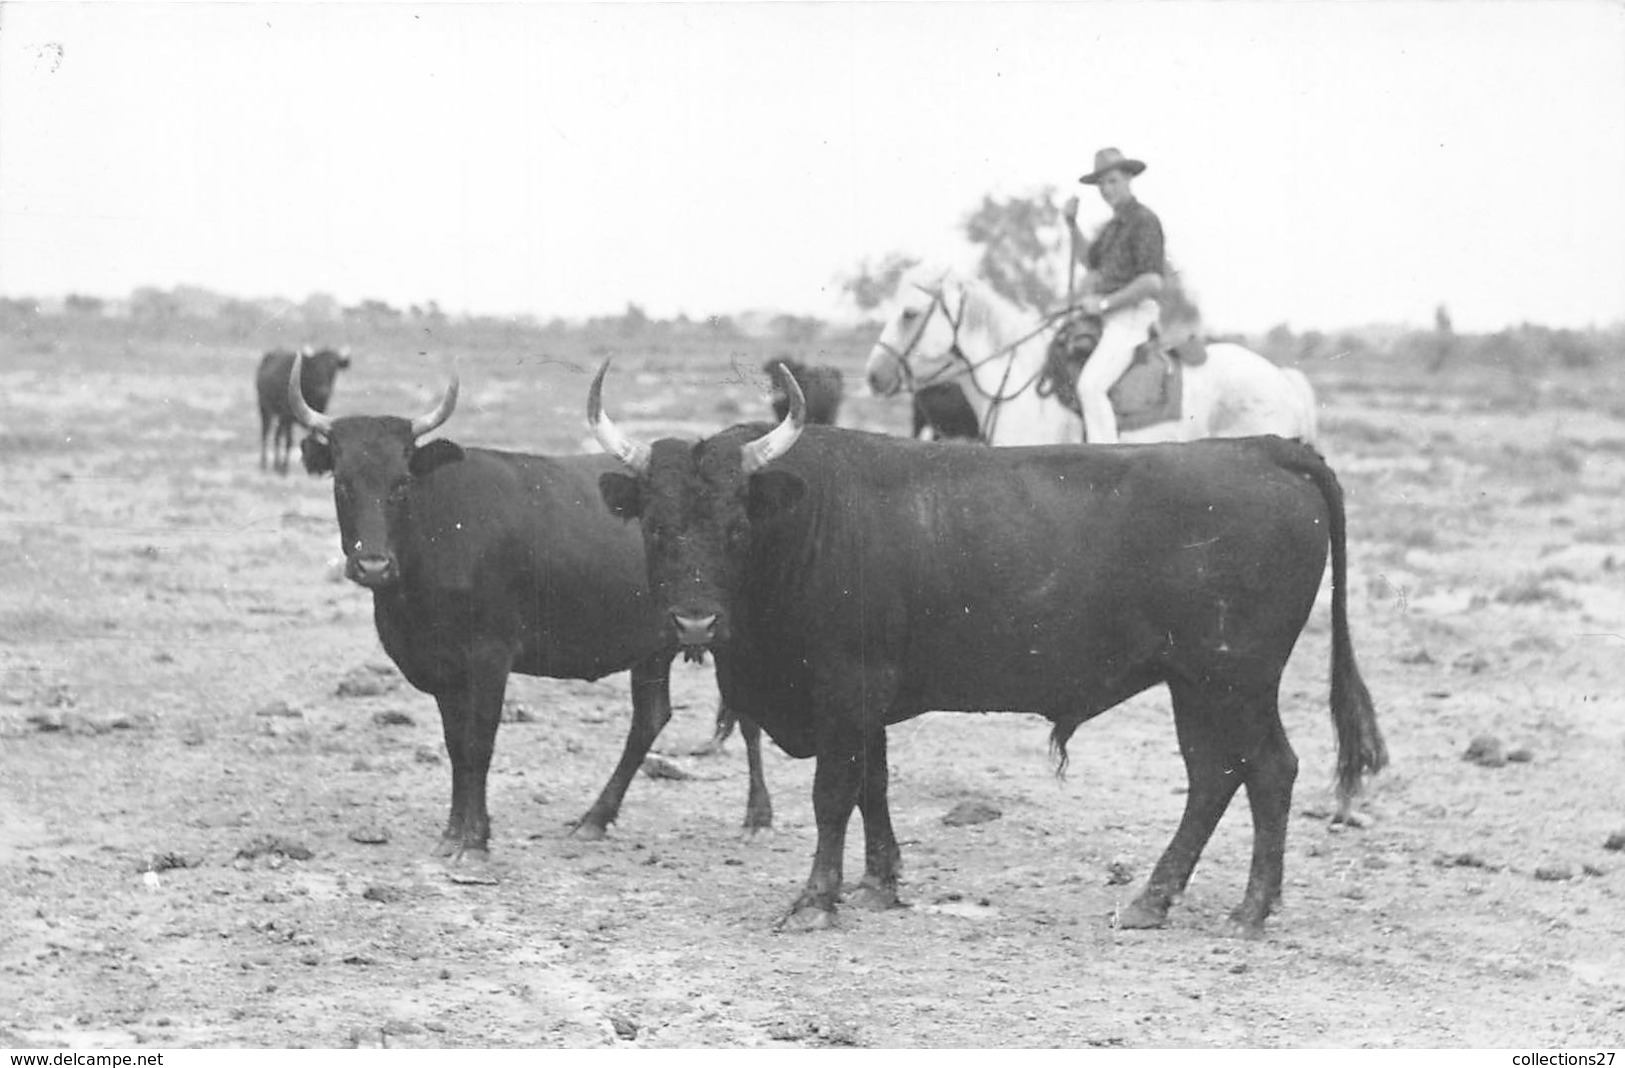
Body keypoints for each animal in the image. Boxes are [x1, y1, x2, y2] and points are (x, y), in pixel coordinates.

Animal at [287, 354, 773, 871]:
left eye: (401, 483)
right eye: (342, 484)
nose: (373, 565)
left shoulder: (490, 655)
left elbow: (480, 741)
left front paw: (476, 840)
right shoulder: (443, 669)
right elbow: (456, 745)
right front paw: (452, 833)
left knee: (744, 717)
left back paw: (757, 816)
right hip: (656, 648)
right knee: (650, 719)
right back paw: (595, 818)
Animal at [591, 364, 1391, 936]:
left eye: (735, 527)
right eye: (655, 527)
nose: (695, 624)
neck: (805, 519)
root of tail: (1267, 450)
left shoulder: (845, 691)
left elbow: (833, 794)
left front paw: (816, 900)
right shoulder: (868, 704)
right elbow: (874, 787)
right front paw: (878, 884)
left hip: (1233, 680)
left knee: (1262, 772)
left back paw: (1240, 909)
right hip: (1197, 685)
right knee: (1222, 777)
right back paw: (1166, 901)